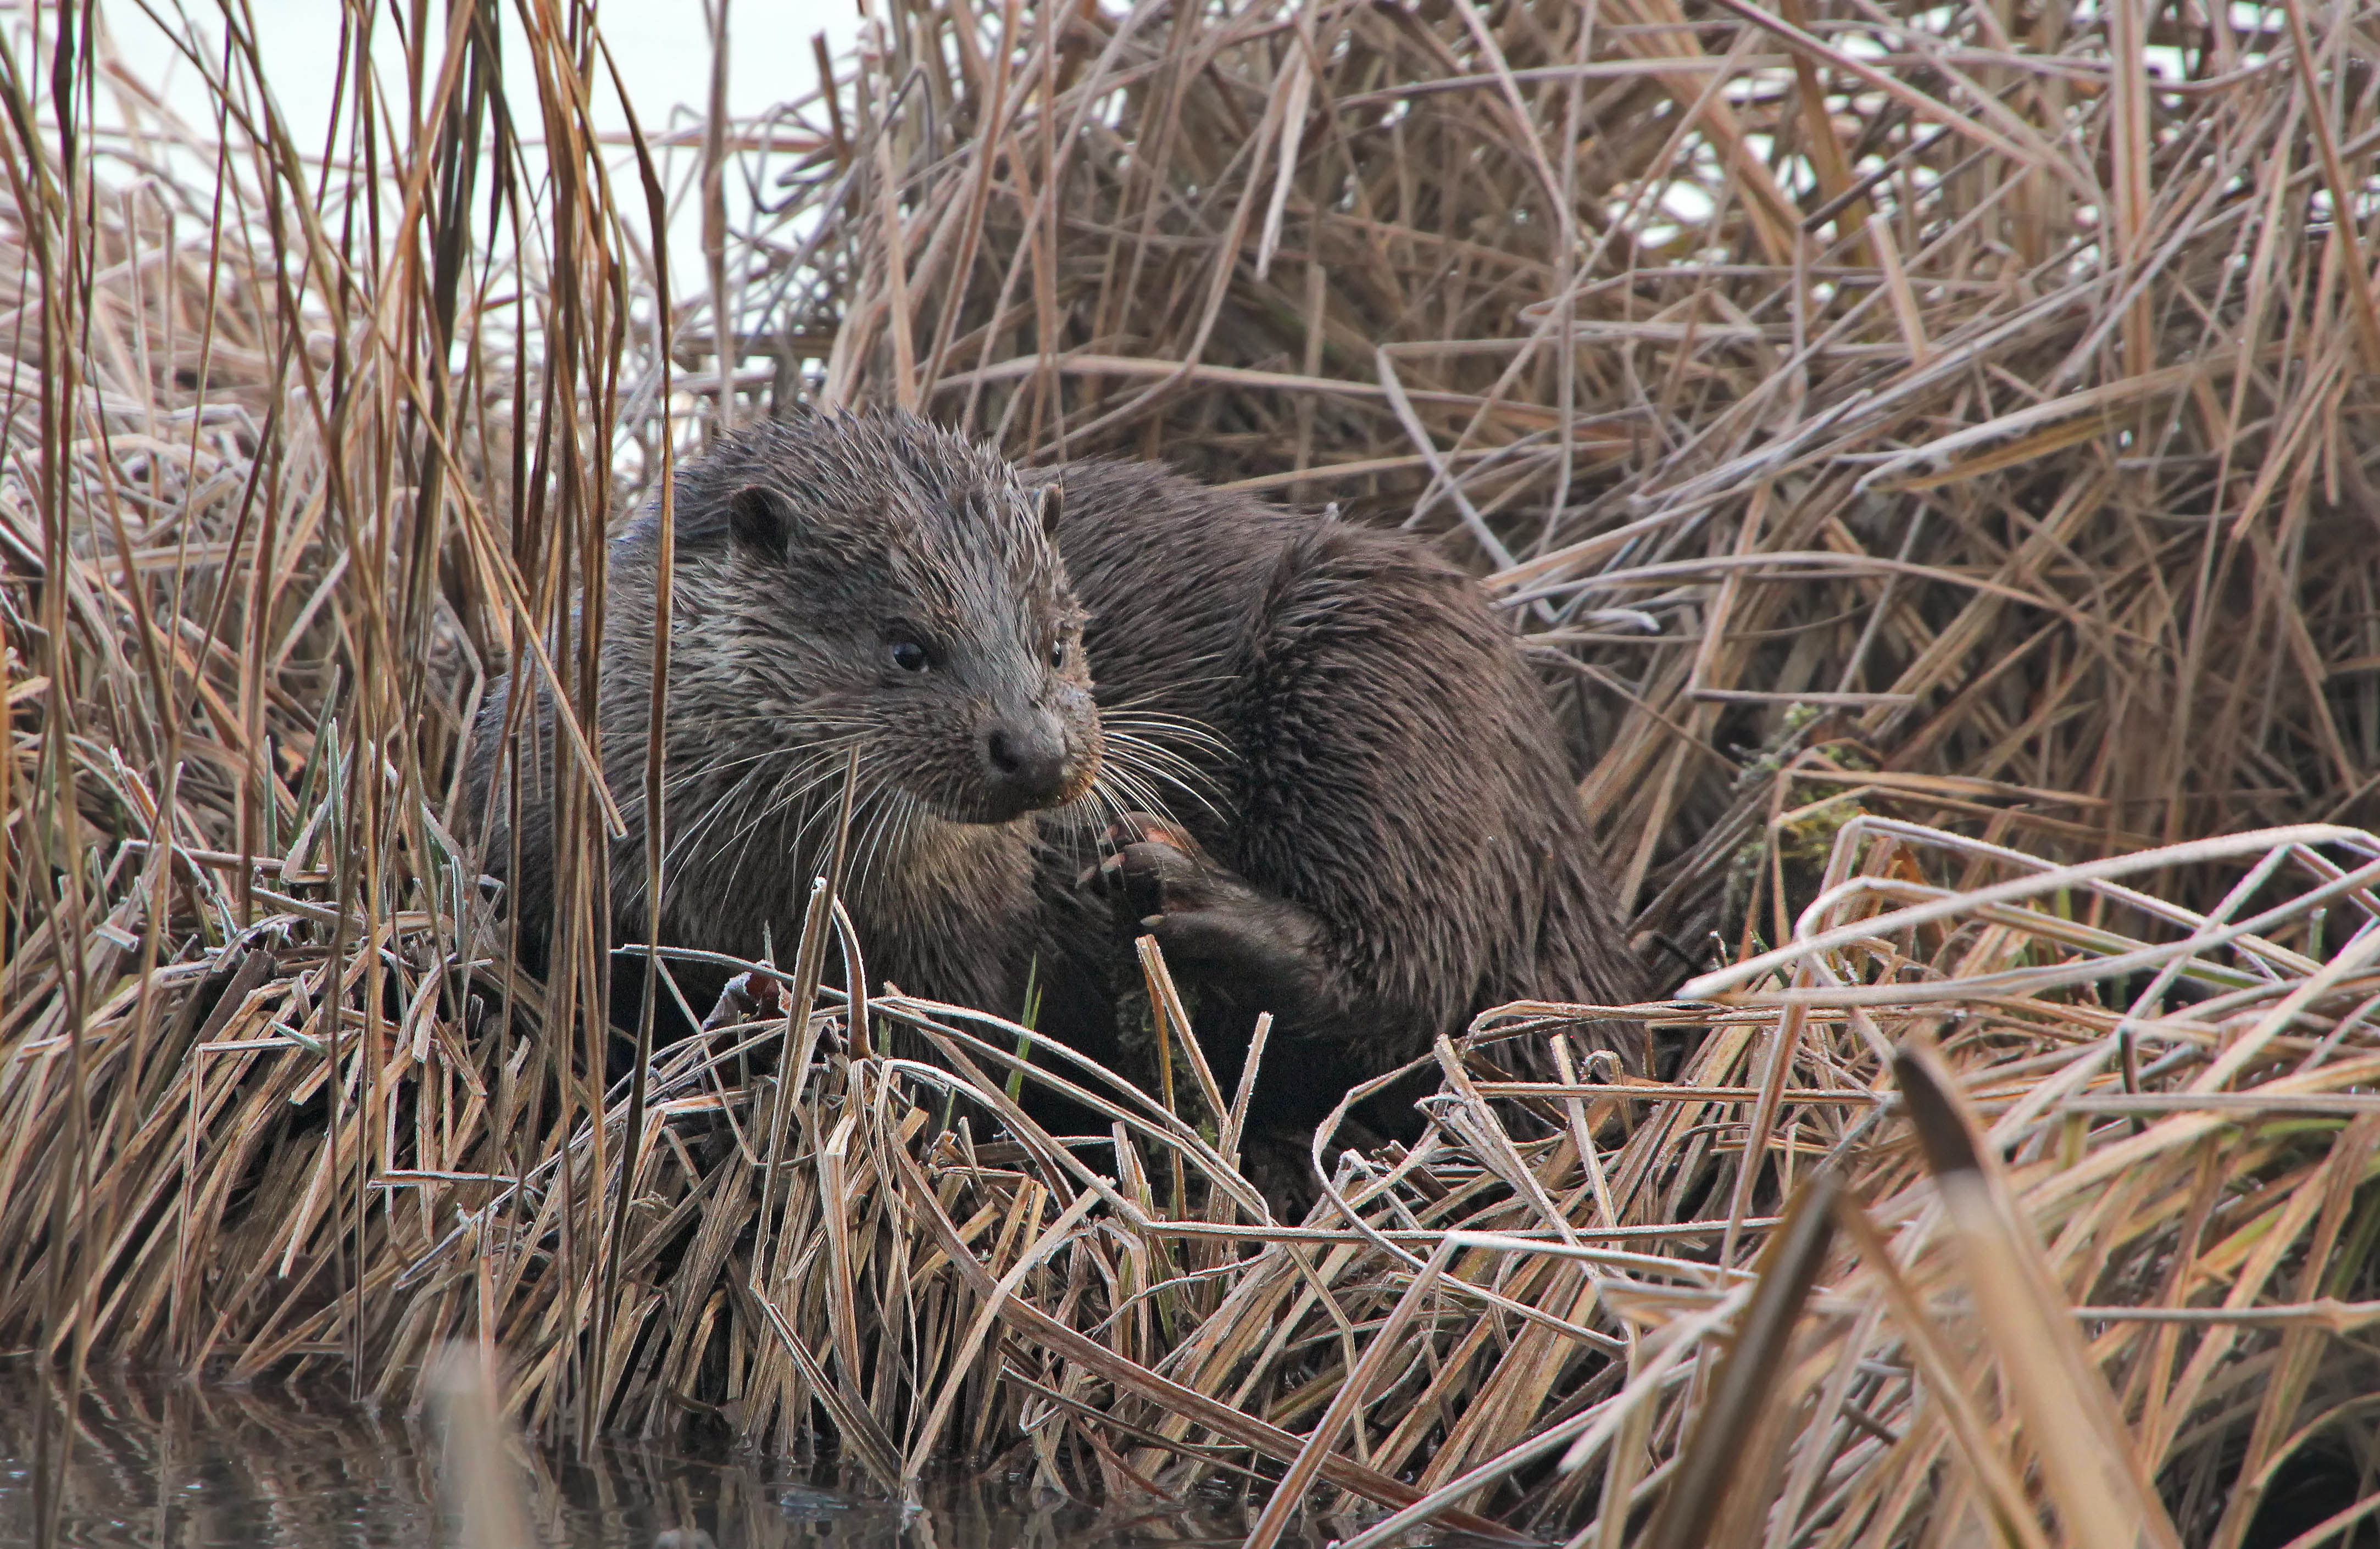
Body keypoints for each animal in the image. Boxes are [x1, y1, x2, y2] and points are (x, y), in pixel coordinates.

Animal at [471, 411, 1647, 1189]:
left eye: (1056, 639)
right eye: (907, 647)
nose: (1036, 747)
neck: (730, 884)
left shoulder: (967, 947)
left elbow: (964, 1053)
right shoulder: (539, 857)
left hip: (1381, 683)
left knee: (1412, 965)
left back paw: (1176, 890)